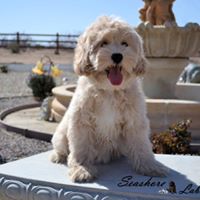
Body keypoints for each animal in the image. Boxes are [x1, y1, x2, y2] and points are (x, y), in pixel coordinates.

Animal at [50, 15, 169, 182]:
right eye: (103, 43)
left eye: (125, 43)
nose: (117, 56)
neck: (110, 90)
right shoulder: (81, 120)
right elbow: (81, 147)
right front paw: (82, 168)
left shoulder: (135, 120)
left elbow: (141, 145)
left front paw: (150, 166)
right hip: (61, 134)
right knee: (60, 147)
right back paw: (57, 156)